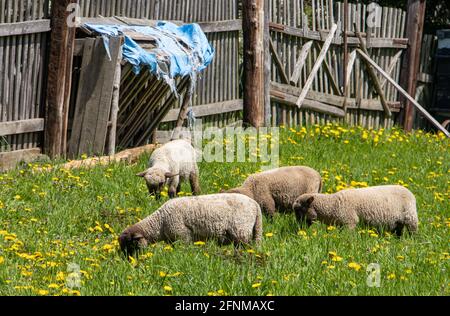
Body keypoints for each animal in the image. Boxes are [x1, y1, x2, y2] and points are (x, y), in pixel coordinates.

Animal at [118, 193, 262, 254]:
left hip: (241, 230)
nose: (126, 261)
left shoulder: (182, 236)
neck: (160, 223)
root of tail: (255, 204)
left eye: (130, 245)